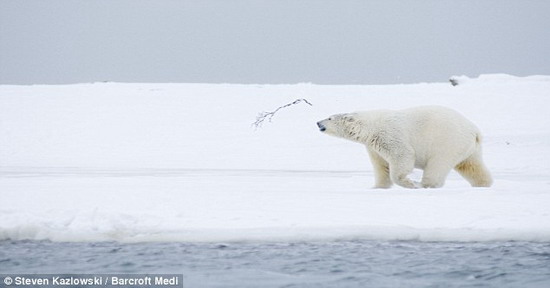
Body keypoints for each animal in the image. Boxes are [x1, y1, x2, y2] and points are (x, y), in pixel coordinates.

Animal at [320, 106, 496, 189]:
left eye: (329, 118)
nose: (317, 122)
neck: (370, 126)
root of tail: (475, 131)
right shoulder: (373, 146)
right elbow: (381, 166)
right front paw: (376, 187)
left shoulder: (389, 134)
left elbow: (402, 155)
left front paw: (410, 183)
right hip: (468, 148)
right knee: (472, 166)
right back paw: (483, 184)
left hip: (448, 142)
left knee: (437, 165)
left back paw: (424, 184)